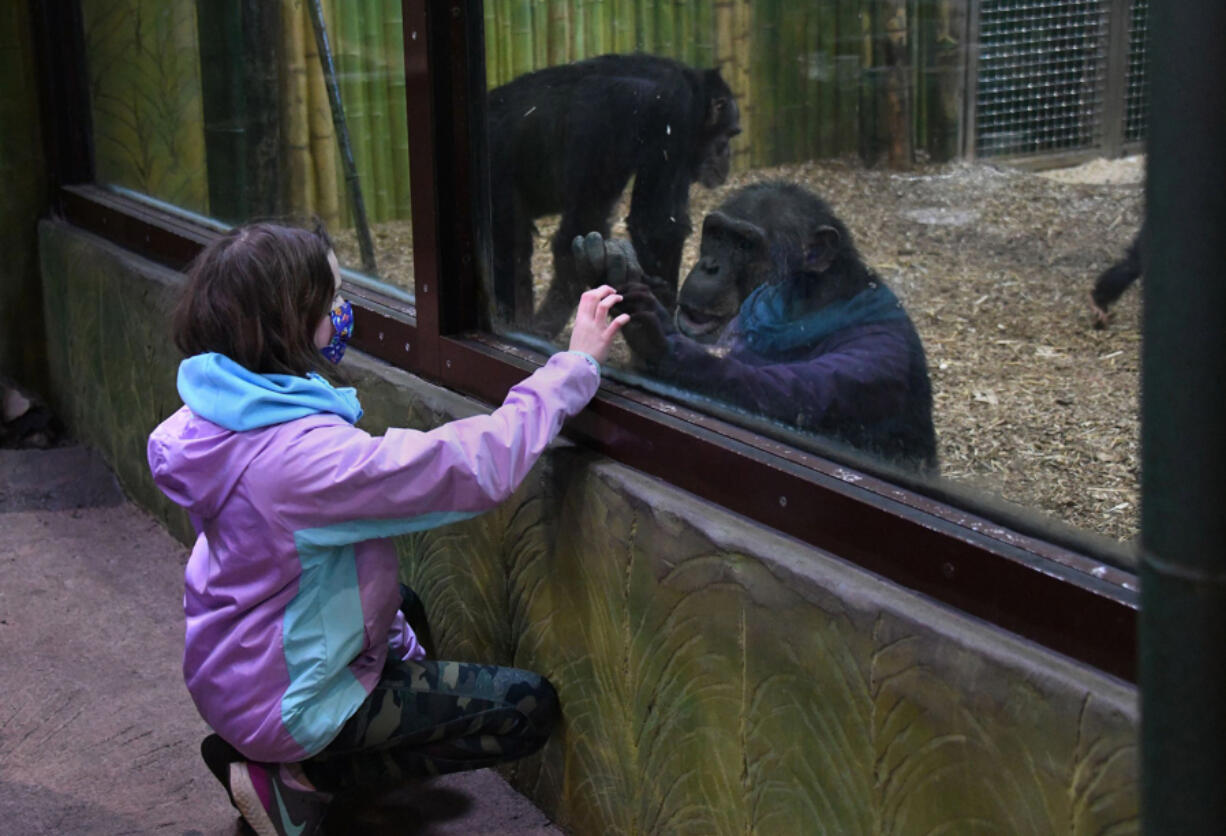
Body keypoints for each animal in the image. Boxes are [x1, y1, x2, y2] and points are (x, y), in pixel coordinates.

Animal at [485, 53, 735, 335]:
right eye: (729, 134)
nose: (729, 154)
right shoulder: (671, 113)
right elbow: (655, 223)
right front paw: (664, 305)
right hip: (496, 173)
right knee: (516, 244)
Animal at [576, 180, 936, 473]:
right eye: (717, 235)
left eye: (744, 245)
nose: (709, 266)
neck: (807, 304)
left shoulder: (871, 358)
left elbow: (785, 398)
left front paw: (655, 333)